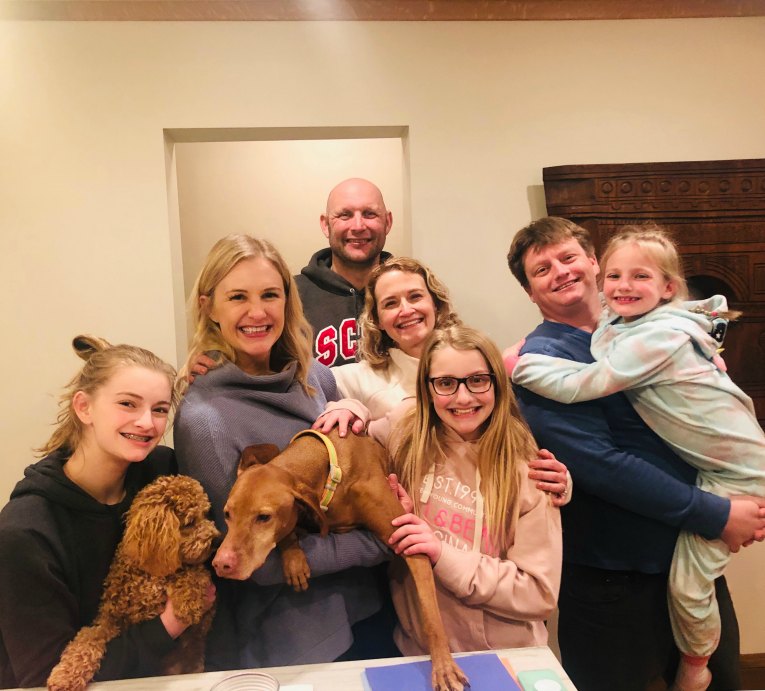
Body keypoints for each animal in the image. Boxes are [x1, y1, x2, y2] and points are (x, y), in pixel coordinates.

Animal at [47, 475, 219, 691]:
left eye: (206, 514)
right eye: (190, 521)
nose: (218, 540)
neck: (148, 573)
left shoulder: (201, 623)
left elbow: (194, 574)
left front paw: (188, 602)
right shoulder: (111, 620)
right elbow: (87, 637)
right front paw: (65, 674)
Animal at [213, 429, 468, 691]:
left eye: (264, 517)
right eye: (227, 514)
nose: (221, 563)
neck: (331, 474)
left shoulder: (410, 539)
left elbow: (431, 616)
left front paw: (443, 666)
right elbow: (291, 530)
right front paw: (294, 558)